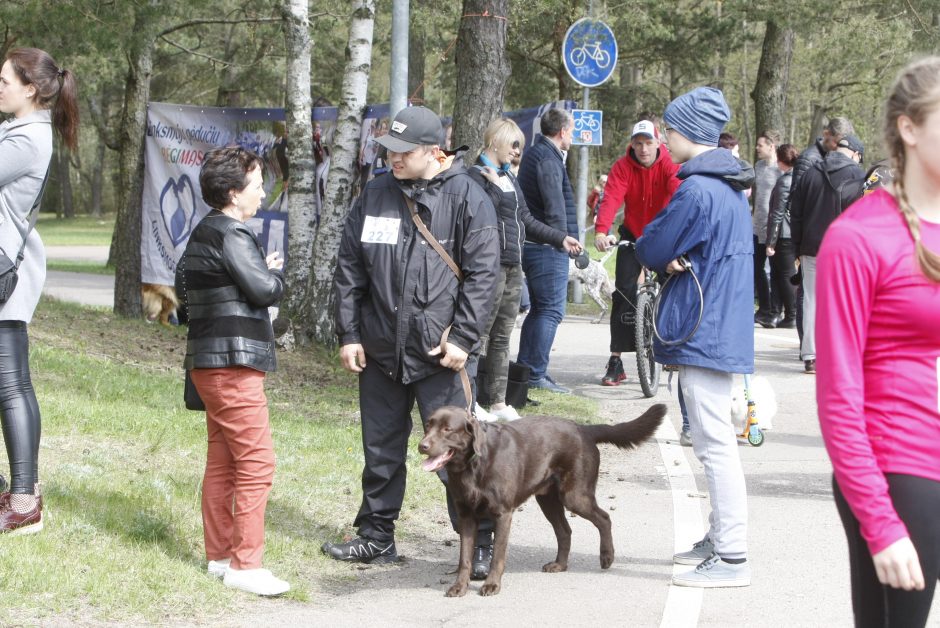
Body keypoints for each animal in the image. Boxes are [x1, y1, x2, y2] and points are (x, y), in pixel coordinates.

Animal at [418, 404, 668, 596]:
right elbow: (465, 559)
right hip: (548, 500)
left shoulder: (503, 514)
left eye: (448, 429)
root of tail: (583, 429)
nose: (422, 446)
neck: (473, 464)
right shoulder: (466, 516)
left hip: (574, 496)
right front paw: (459, 587)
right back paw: (560, 565)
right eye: (428, 426)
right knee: (565, 530)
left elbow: (498, 554)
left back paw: (607, 557)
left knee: (604, 518)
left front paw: (492, 585)